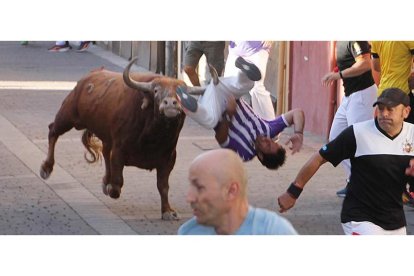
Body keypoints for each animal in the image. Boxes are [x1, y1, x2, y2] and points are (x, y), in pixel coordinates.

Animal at [40, 57, 205, 220]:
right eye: (156, 90)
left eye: (182, 94)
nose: (170, 103)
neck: (154, 137)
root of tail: (88, 77)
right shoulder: (119, 150)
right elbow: (118, 182)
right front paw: (111, 187)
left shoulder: (169, 158)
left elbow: (163, 186)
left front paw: (167, 211)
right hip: (67, 114)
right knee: (53, 131)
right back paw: (46, 168)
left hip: (104, 136)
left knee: (105, 153)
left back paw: (105, 180)